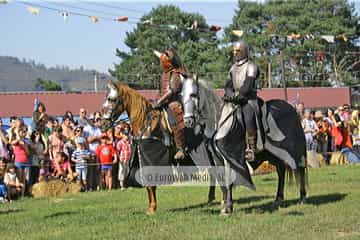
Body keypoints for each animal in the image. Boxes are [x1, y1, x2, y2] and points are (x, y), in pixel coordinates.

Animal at [102, 81, 222, 216]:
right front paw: (151, 207)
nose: (103, 124)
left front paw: (153, 207)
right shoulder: (142, 157)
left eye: (112, 99)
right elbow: (148, 184)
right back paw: (210, 198)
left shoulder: (153, 158)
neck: (146, 122)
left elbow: (151, 183)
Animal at [180, 74, 306, 215]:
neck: (220, 121)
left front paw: (228, 208)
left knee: (300, 169)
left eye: (193, 94)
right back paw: (278, 198)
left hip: (294, 150)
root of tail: (293, 109)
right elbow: (223, 180)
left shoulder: (229, 158)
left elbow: (228, 181)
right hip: (273, 154)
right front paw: (225, 206)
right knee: (281, 169)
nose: (188, 121)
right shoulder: (218, 159)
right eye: (182, 95)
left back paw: (302, 197)